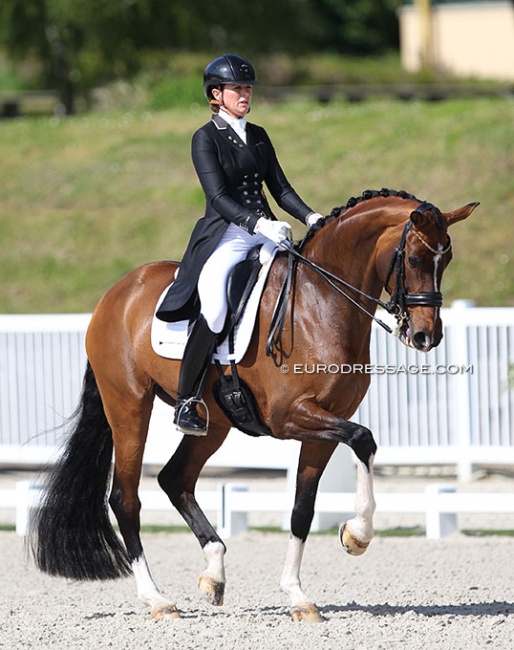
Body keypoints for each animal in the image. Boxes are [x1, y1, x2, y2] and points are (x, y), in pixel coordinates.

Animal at [30, 189, 474, 624]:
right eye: (414, 259)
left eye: (448, 258)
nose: (426, 336)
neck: (321, 301)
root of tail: (116, 293)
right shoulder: (290, 416)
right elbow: (364, 439)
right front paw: (356, 536)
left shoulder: (327, 425)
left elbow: (302, 509)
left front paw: (298, 596)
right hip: (128, 406)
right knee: (125, 497)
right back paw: (158, 600)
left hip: (213, 423)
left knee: (175, 479)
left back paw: (214, 573)